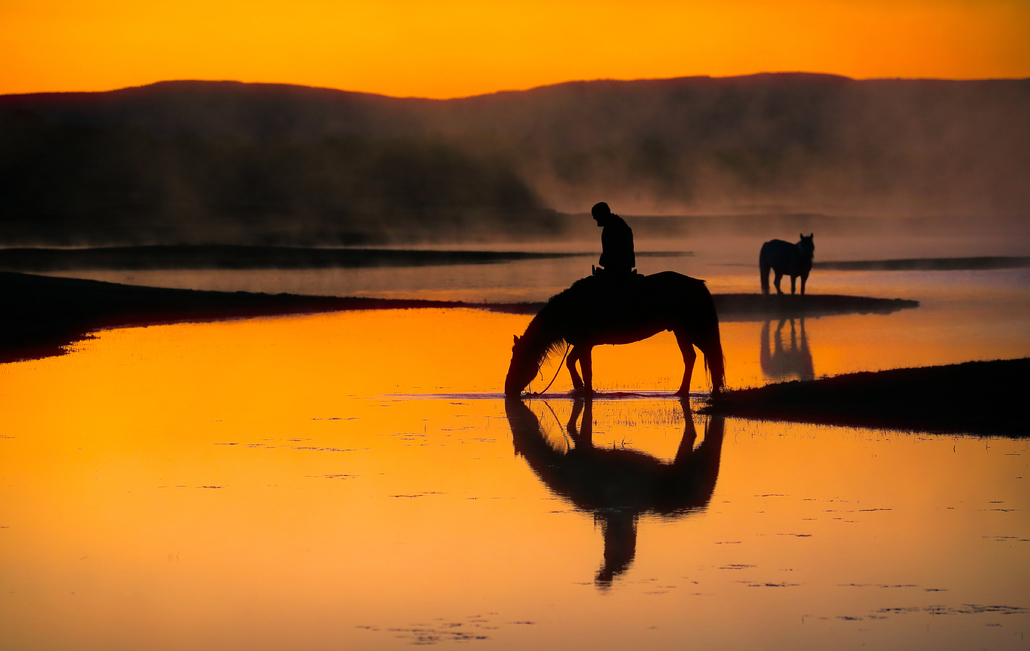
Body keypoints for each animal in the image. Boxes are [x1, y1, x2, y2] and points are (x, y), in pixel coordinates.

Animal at [506, 269, 725, 397]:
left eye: (518, 359)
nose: (507, 389)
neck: (570, 308)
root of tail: (699, 284)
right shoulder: (583, 343)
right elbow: (571, 362)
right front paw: (579, 387)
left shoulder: (585, 344)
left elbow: (585, 369)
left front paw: (586, 391)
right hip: (680, 332)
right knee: (691, 357)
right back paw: (681, 391)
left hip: (694, 330)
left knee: (711, 356)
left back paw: (712, 391)